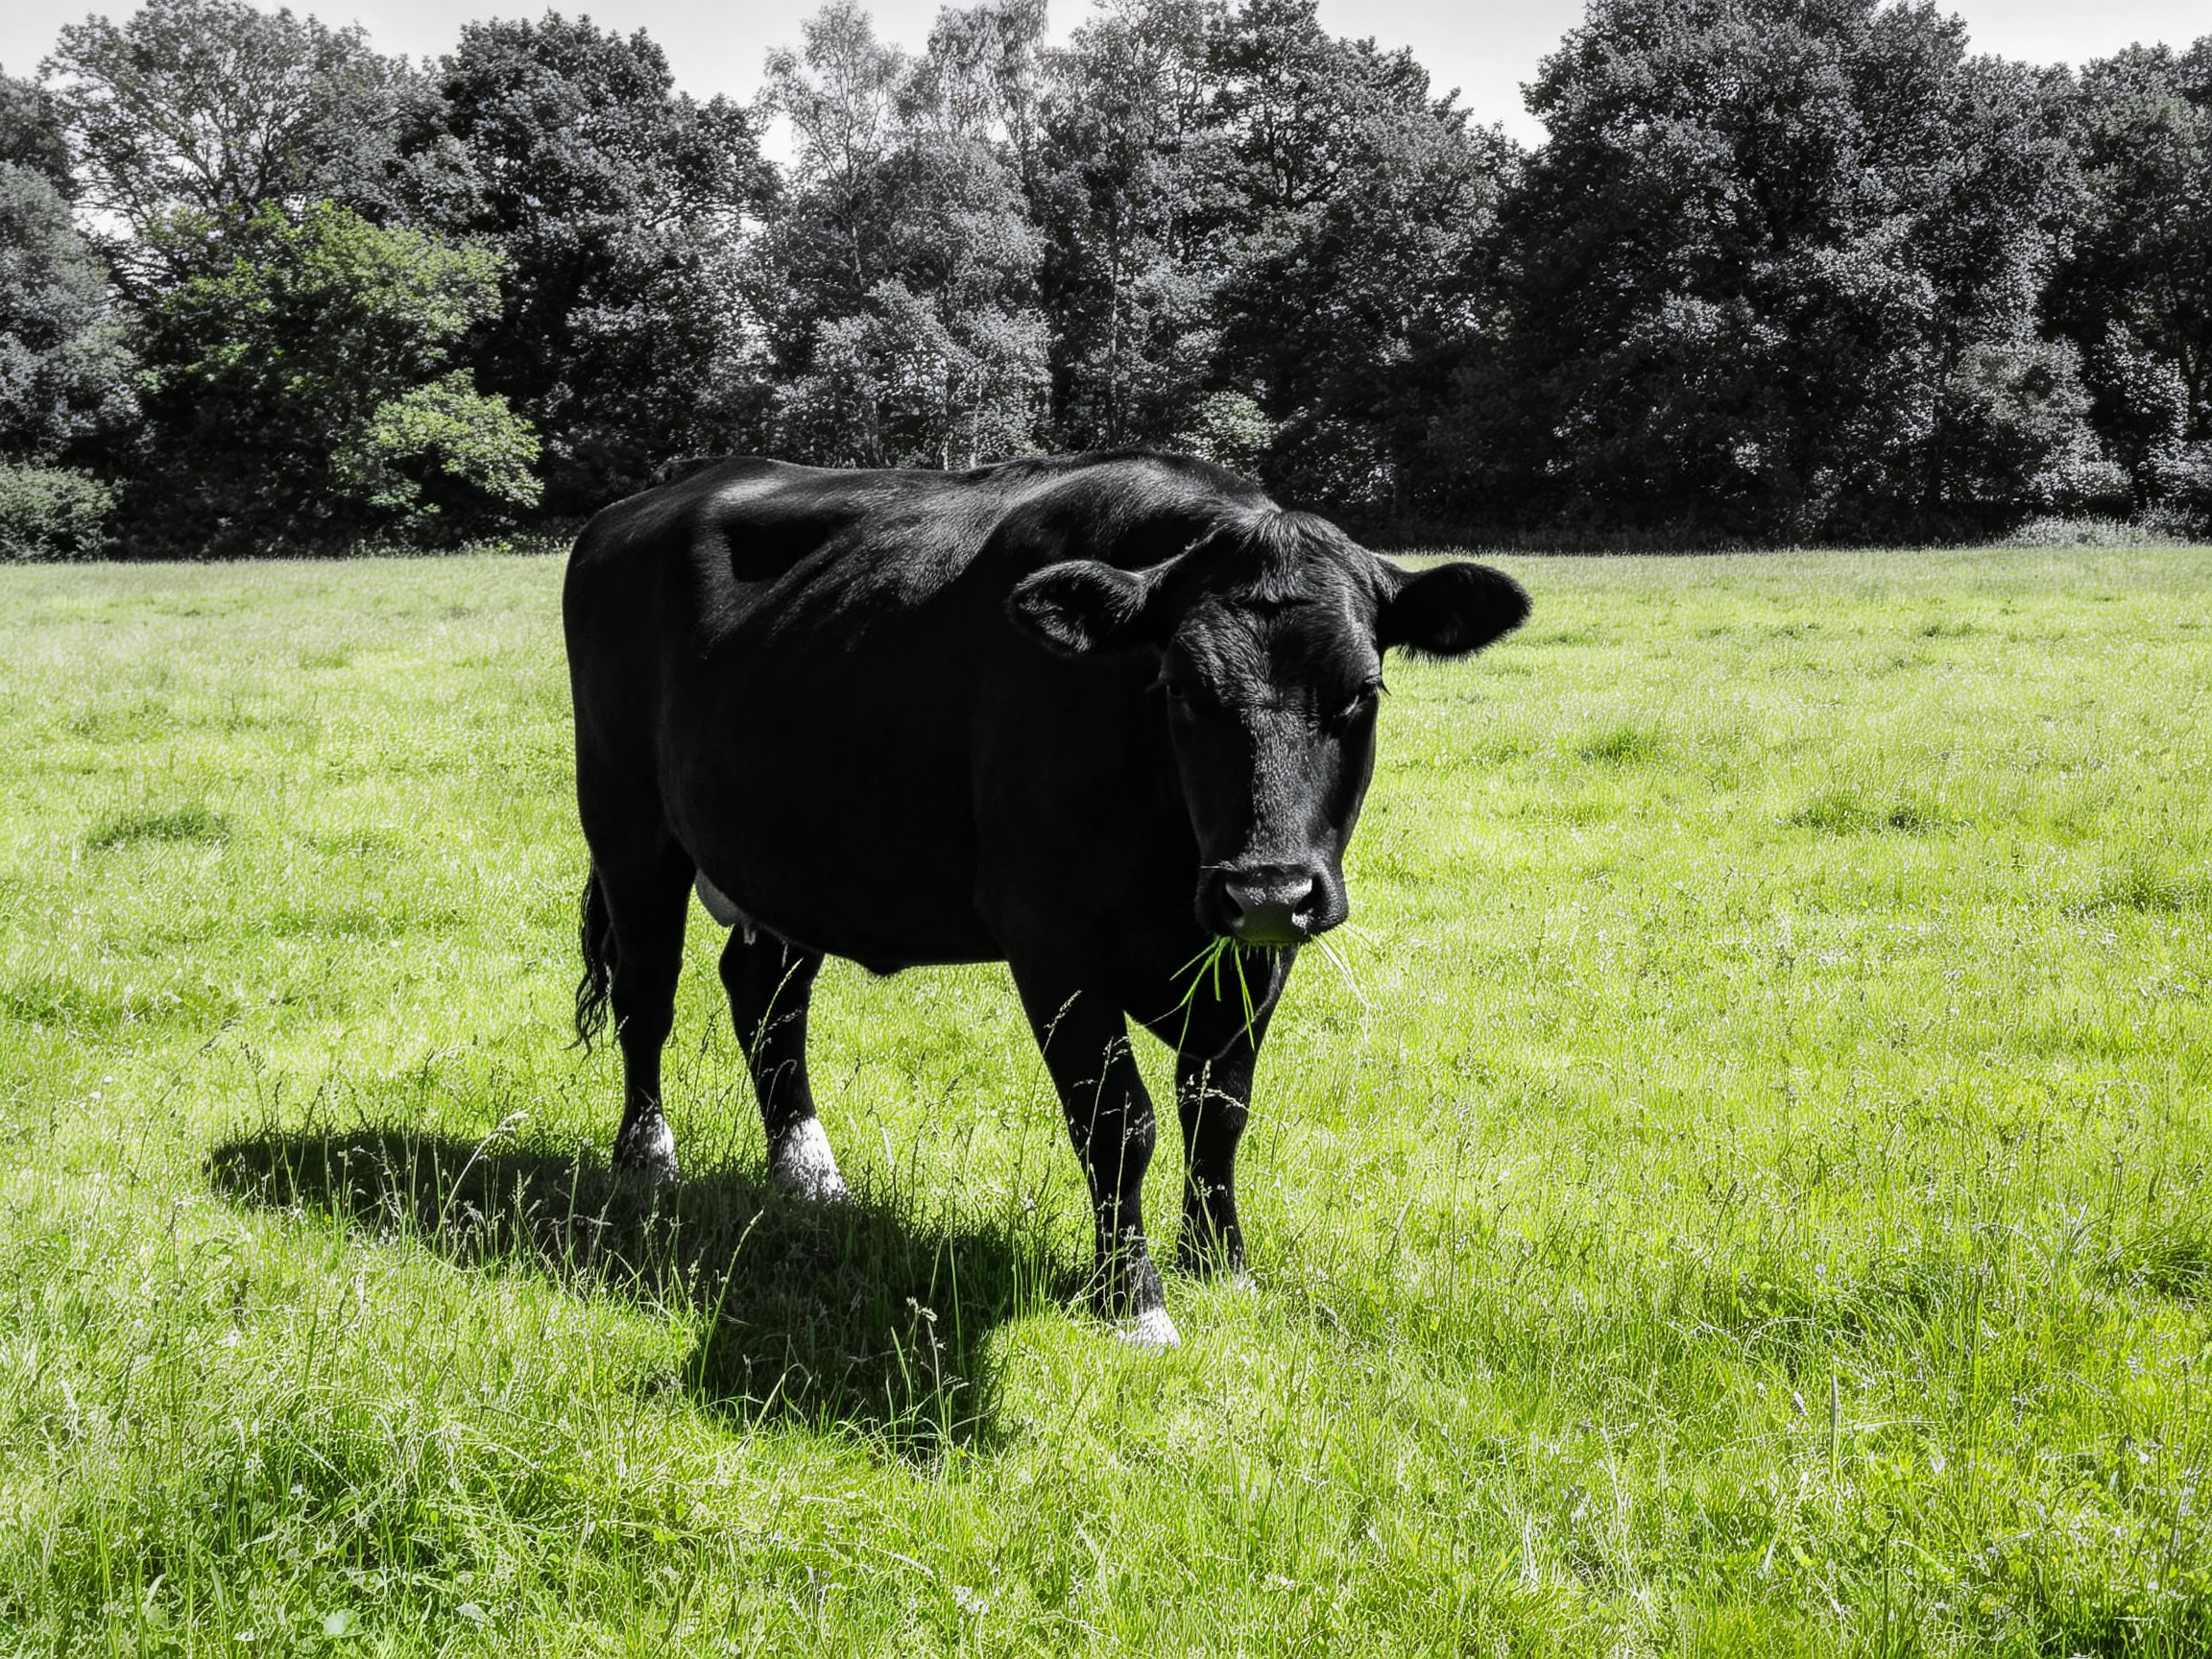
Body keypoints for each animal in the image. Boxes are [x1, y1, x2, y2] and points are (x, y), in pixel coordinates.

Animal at [564, 451, 1527, 1348]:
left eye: (1361, 691)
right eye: (1180, 689)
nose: (1263, 888)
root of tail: (634, 509)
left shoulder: (1256, 954)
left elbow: (1219, 1110)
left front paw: (1220, 1264)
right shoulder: (1052, 936)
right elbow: (1120, 1123)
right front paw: (1134, 1301)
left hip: (788, 859)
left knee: (766, 997)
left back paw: (808, 1173)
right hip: (626, 819)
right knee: (648, 992)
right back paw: (646, 1160)